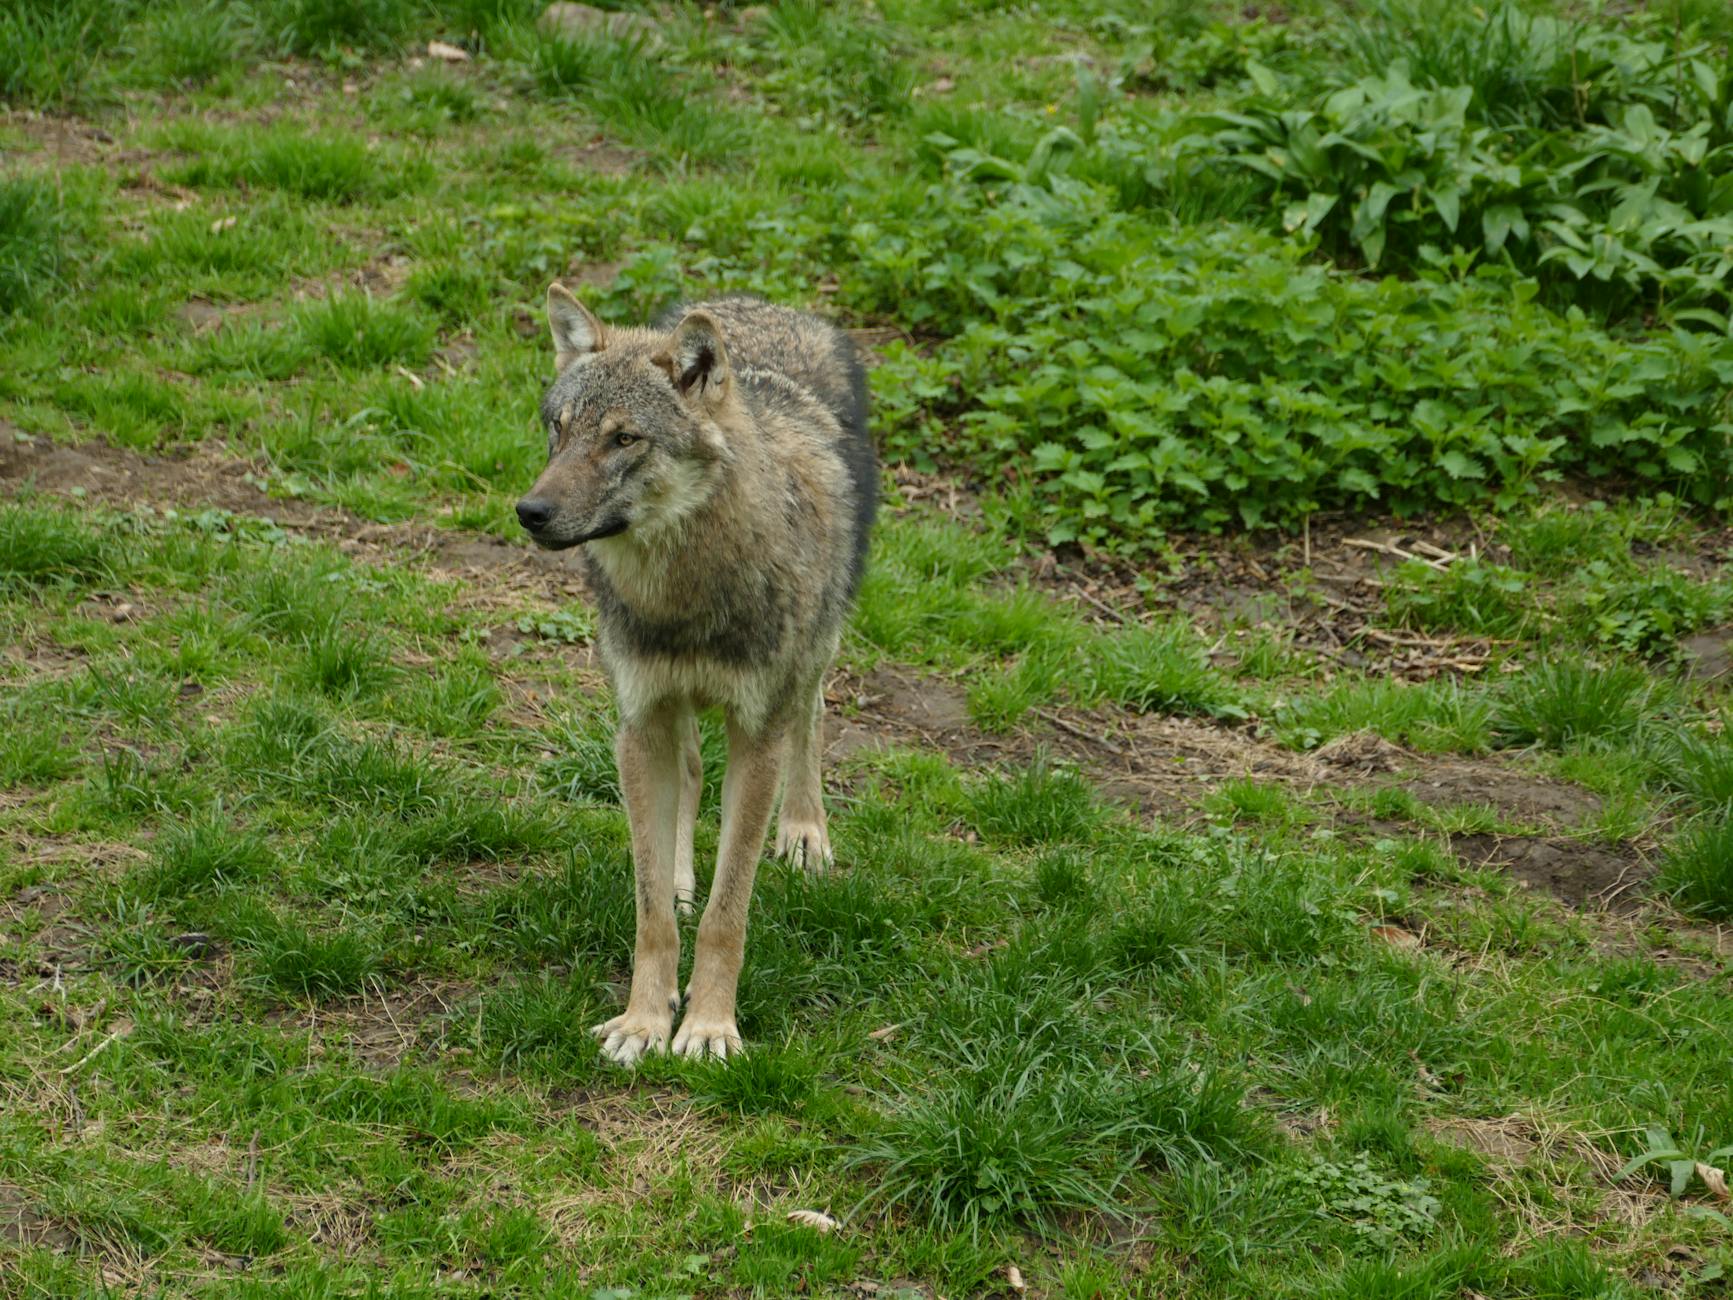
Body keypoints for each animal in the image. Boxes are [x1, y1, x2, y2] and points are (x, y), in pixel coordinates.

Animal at [515, 285, 876, 1065]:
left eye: (624, 439)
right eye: (558, 429)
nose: (530, 511)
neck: (683, 597)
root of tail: (761, 304)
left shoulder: (756, 736)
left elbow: (726, 913)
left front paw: (710, 1027)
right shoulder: (638, 723)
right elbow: (651, 909)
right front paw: (645, 1021)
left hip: (816, 647)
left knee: (813, 715)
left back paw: (805, 833)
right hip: (667, 715)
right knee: (687, 773)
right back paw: (684, 877)